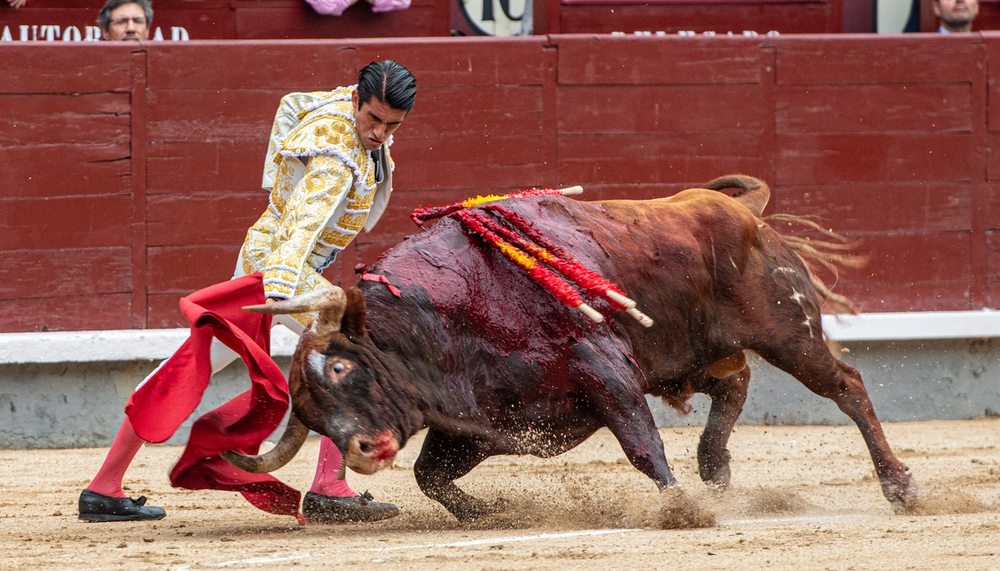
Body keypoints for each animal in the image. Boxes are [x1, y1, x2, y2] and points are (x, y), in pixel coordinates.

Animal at [223, 174, 916, 524]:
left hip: (786, 329)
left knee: (846, 386)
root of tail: (736, 209)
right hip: (690, 352)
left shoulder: (605, 369)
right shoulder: (485, 419)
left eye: (343, 366)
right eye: (311, 416)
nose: (363, 452)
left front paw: (680, 509)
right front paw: (489, 511)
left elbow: (640, 444)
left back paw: (900, 486)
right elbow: (430, 476)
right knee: (734, 382)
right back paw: (714, 466)